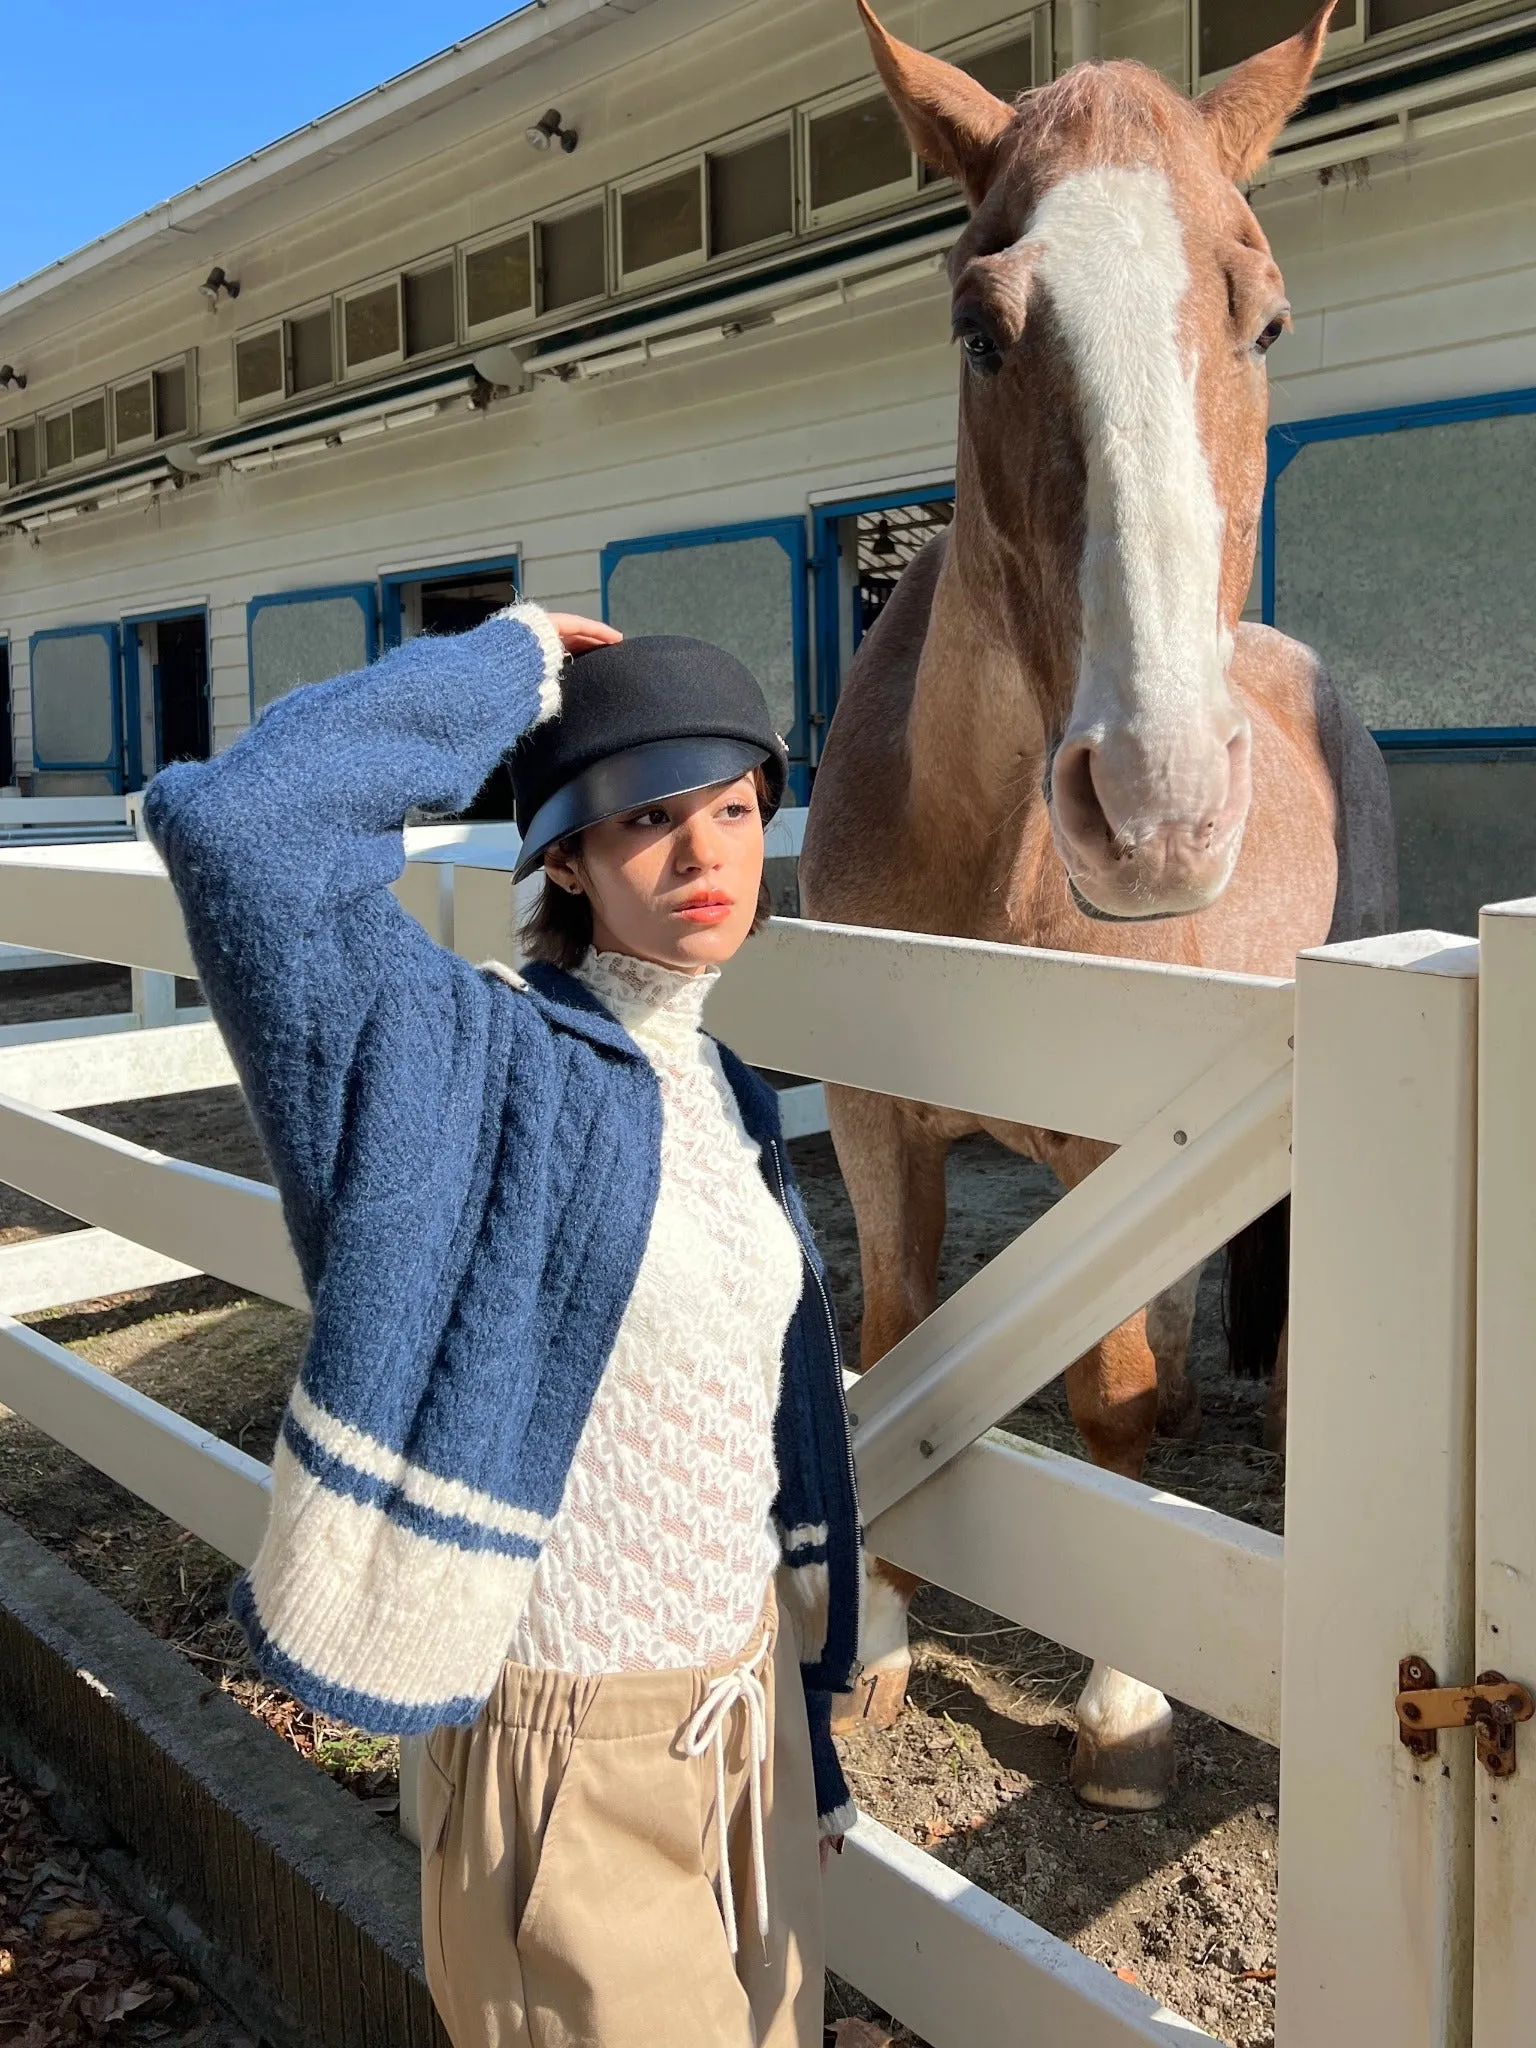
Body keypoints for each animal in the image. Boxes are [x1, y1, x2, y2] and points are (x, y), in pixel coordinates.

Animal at [798, 8, 1400, 1818]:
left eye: (1262, 316)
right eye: (980, 329)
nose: (1155, 800)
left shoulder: (1124, 1140)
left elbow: (1110, 1404)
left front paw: (1124, 1713)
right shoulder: (874, 1112)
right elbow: (895, 1342)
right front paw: (880, 1641)